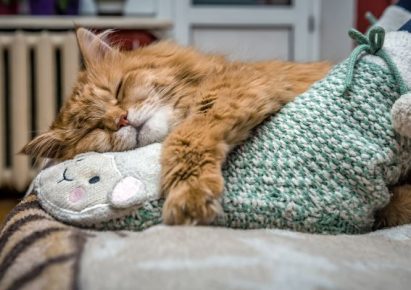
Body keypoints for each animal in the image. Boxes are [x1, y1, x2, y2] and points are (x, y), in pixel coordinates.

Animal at [21, 28, 411, 228]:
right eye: (93, 130)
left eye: (117, 89)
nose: (121, 120)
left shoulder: (235, 91)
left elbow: (185, 139)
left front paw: (189, 197)